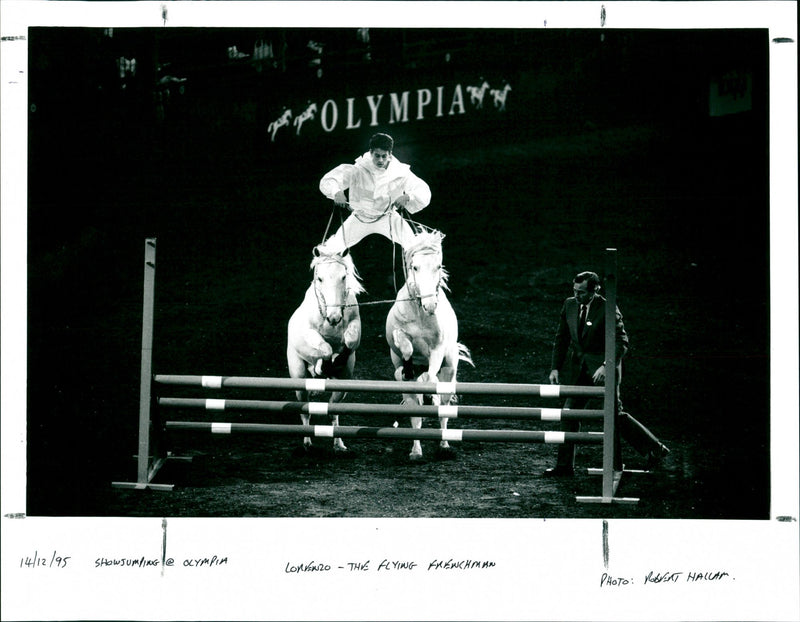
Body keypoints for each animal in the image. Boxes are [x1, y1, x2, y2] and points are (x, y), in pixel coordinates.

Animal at [286, 249, 364, 454]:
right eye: (320, 278)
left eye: (343, 276)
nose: (334, 317)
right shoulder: (309, 333)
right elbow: (325, 348)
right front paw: (324, 365)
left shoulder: (355, 324)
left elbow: (350, 340)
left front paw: (339, 358)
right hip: (298, 377)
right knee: (305, 410)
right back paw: (307, 443)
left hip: (342, 386)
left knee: (333, 411)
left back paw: (339, 445)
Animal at [384, 232, 472, 460]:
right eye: (415, 267)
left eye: (438, 266)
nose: (430, 305)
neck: (420, 314)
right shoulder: (398, 336)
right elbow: (405, 346)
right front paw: (407, 369)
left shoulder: (437, 350)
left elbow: (431, 376)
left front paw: (426, 384)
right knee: (415, 415)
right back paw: (416, 451)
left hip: (449, 373)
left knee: (443, 410)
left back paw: (444, 446)